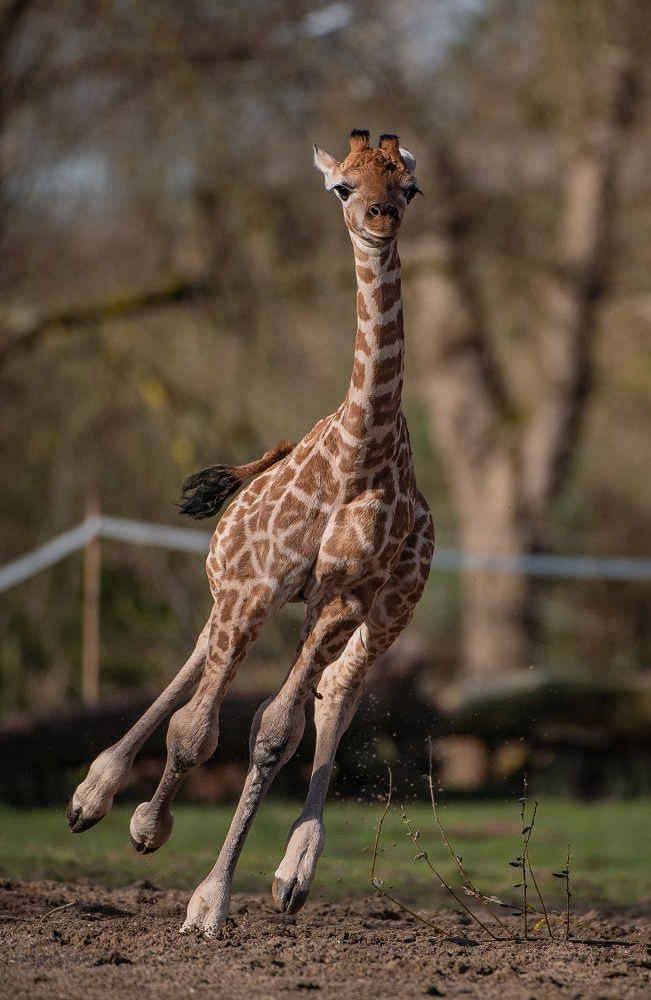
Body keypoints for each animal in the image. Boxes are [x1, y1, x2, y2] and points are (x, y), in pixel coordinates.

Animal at [66, 131, 436, 936]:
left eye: (409, 187)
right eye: (342, 186)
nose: (380, 218)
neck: (360, 453)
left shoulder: (339, 598)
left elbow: (273, 731)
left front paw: (210, 898)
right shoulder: (257, 584)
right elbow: (195, 732)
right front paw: (149, 829)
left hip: (386, 610)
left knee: (335, 693)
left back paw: (293, 871)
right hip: (242, 588)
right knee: (201, 661)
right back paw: (94, 795)